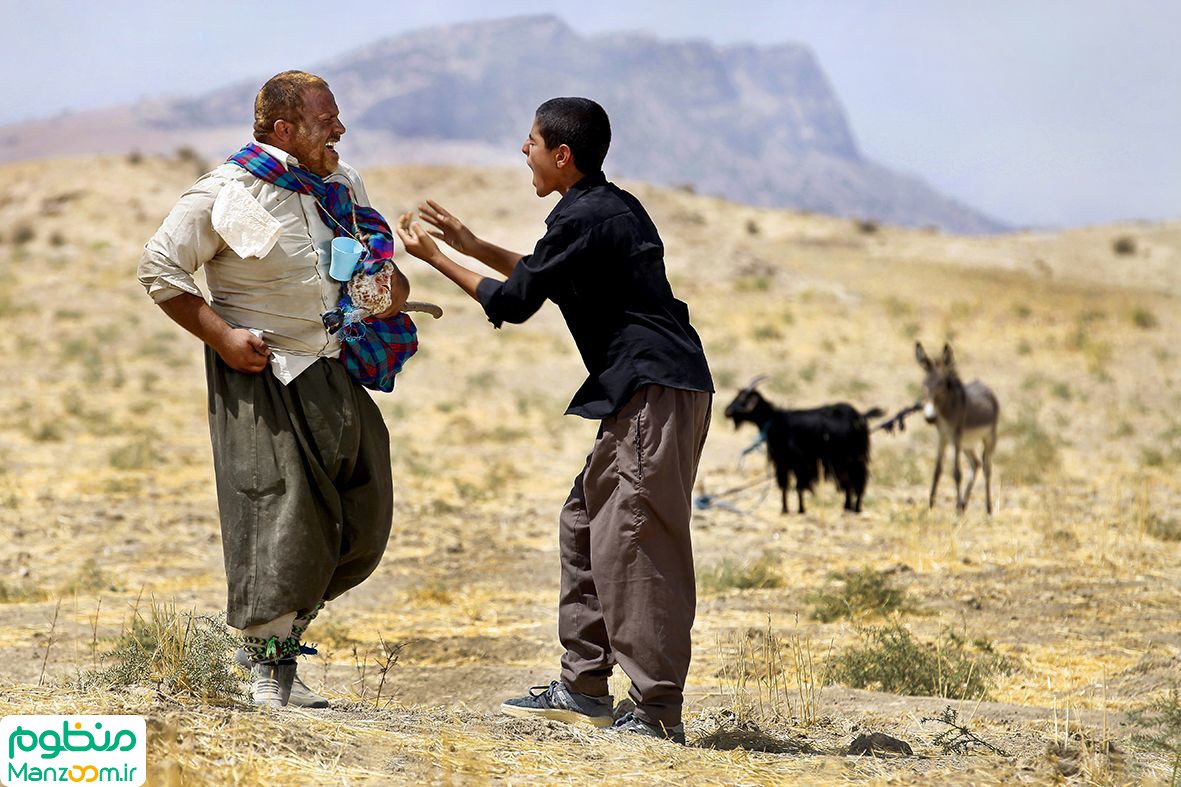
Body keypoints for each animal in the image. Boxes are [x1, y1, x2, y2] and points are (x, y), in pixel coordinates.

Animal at [722, 380, 883, 515]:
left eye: (743, 399)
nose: (727, 412)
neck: (775, 421)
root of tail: (861, 417)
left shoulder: (800, 463)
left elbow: (799, 487)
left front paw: (800, 510)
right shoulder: (782, 464)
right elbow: (784, 486)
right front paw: (785, 510)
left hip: (855, 458)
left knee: (858, 480)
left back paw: (856, 508)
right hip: (843, 462)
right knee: (848, 482)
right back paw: (847, 507)